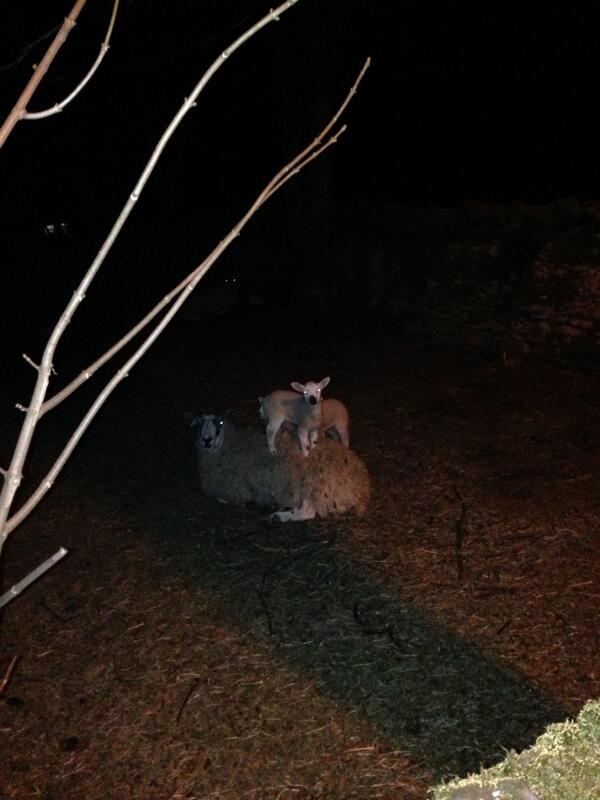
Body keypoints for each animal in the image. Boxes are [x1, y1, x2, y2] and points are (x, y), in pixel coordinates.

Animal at [192, 412, 370, 524]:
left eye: (219, 424)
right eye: (200, 424)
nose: (206, 440)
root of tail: (362, 486)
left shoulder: (237, 489)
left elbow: (222, 498)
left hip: (313, 481)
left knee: (308, 511)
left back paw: (279, 516)